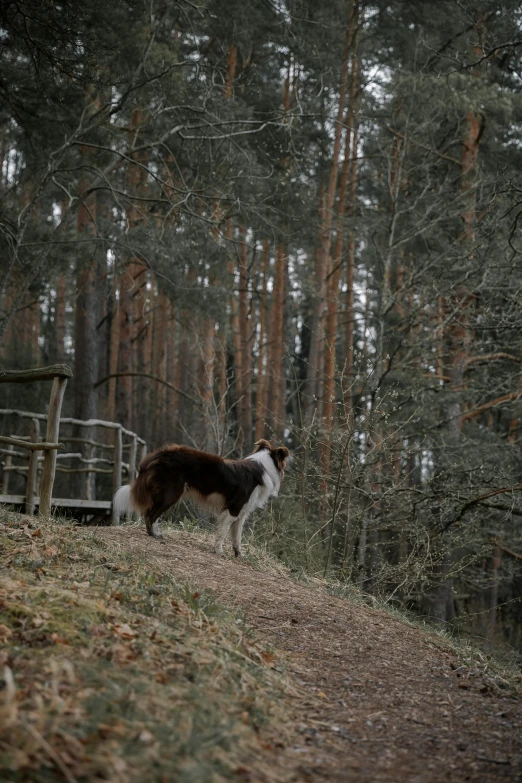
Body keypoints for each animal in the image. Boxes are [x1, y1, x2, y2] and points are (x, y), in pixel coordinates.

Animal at [111, 440, 288, 556]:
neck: (263, 466)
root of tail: (160, 454)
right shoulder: (233, 509)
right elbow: (223, 533)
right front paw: (219, 551)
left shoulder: (241, 513)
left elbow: (237, 536)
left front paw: (239, 555)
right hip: (172, 493)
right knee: (151, 513)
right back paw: (155, 534)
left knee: (150, 512)